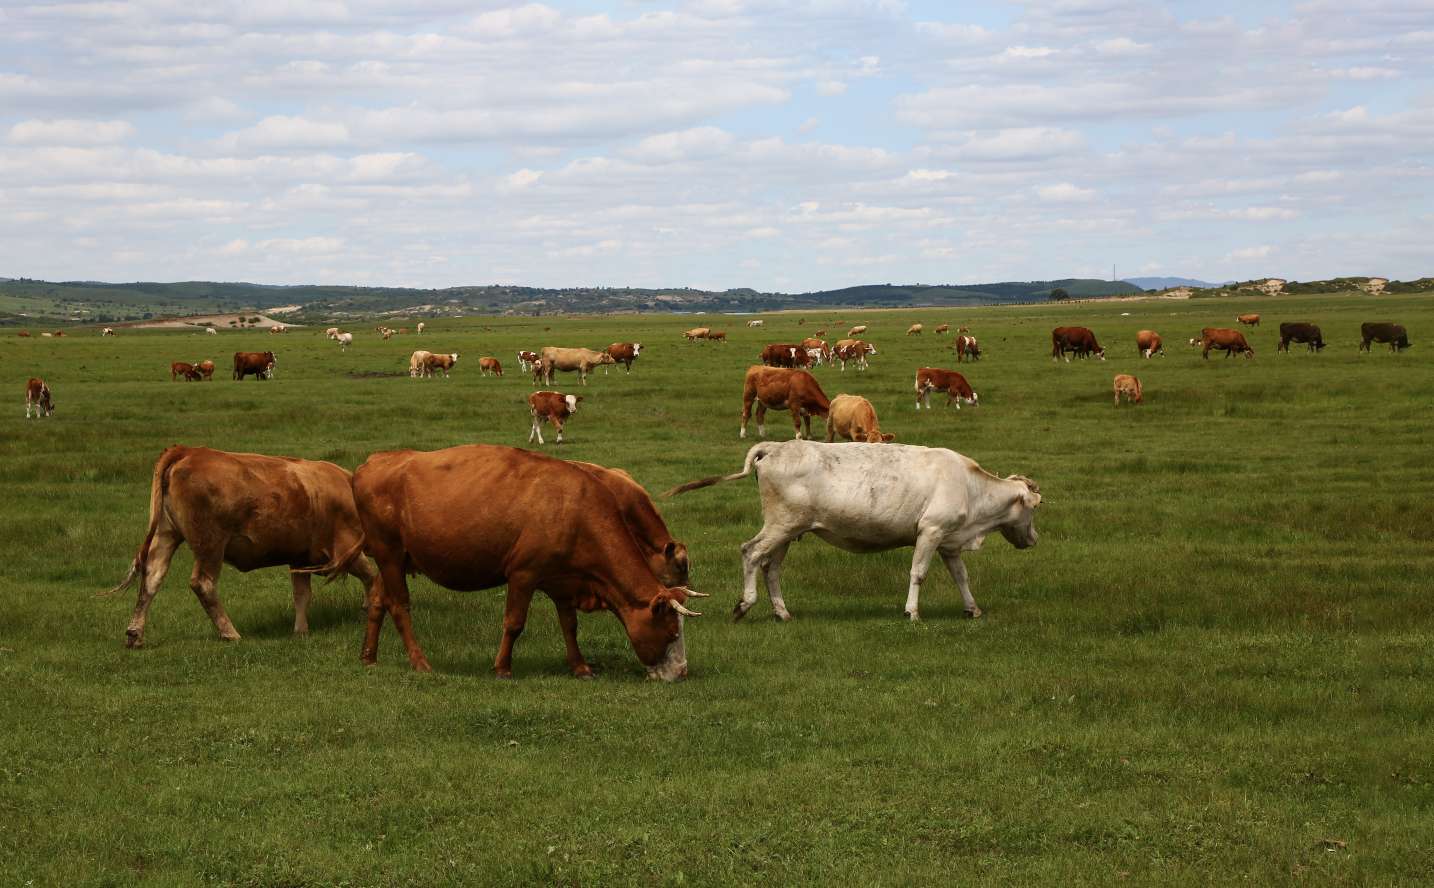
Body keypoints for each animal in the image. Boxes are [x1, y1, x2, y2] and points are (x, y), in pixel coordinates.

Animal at [105, 447, 378, 648]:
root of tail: (189, 451)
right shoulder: (346, 548)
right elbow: (372, 576)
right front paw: (369, 607)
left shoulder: (299, 558)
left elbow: (302, 595)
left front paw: (301, 630)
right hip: (210, 545)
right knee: (203, 584)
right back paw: (230, 632)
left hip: (167, 534)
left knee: (152, 579)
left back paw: (135, 633)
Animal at [352, 444, 699, 679]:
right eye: (671, 633)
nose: (682, 672)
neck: (575, 510)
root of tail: (374, 461)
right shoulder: (523, 574)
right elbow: (514, 622)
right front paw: (503, 668)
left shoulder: (563, 581)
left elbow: (570, 625)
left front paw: (580, 666)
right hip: (389, 552)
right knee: (399, 606)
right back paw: (419, 661)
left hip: (394, 559)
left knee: (379, 600)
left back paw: (369, 656)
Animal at [665, 441, 1038, 622]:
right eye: (1035, 507)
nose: (1034, 539)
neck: (969, 486)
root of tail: (774, 446)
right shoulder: (930, 532)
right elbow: (918, 573)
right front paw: (912, 612)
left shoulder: (949, 543)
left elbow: (961, 577)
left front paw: (972, 609)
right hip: (780, 524)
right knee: (751, 552)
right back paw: (745, 604)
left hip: (787, 531)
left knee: (771, 567)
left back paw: (782, 612)